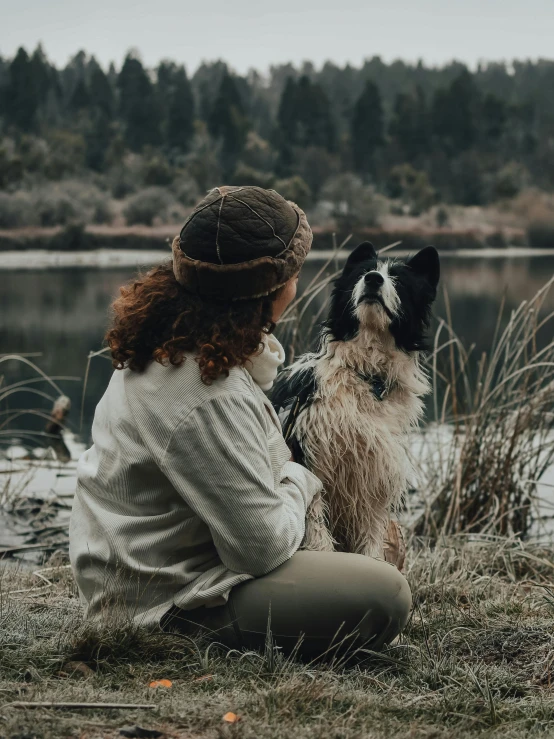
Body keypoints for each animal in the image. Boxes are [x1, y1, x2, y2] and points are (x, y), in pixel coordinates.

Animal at [272, 240, 440, 556]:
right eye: (363, 273)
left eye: (398, 280)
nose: (373, 279)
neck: (367, 374)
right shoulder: (310, 459)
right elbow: (317, 530)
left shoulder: (374, 478)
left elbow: (371, 544)